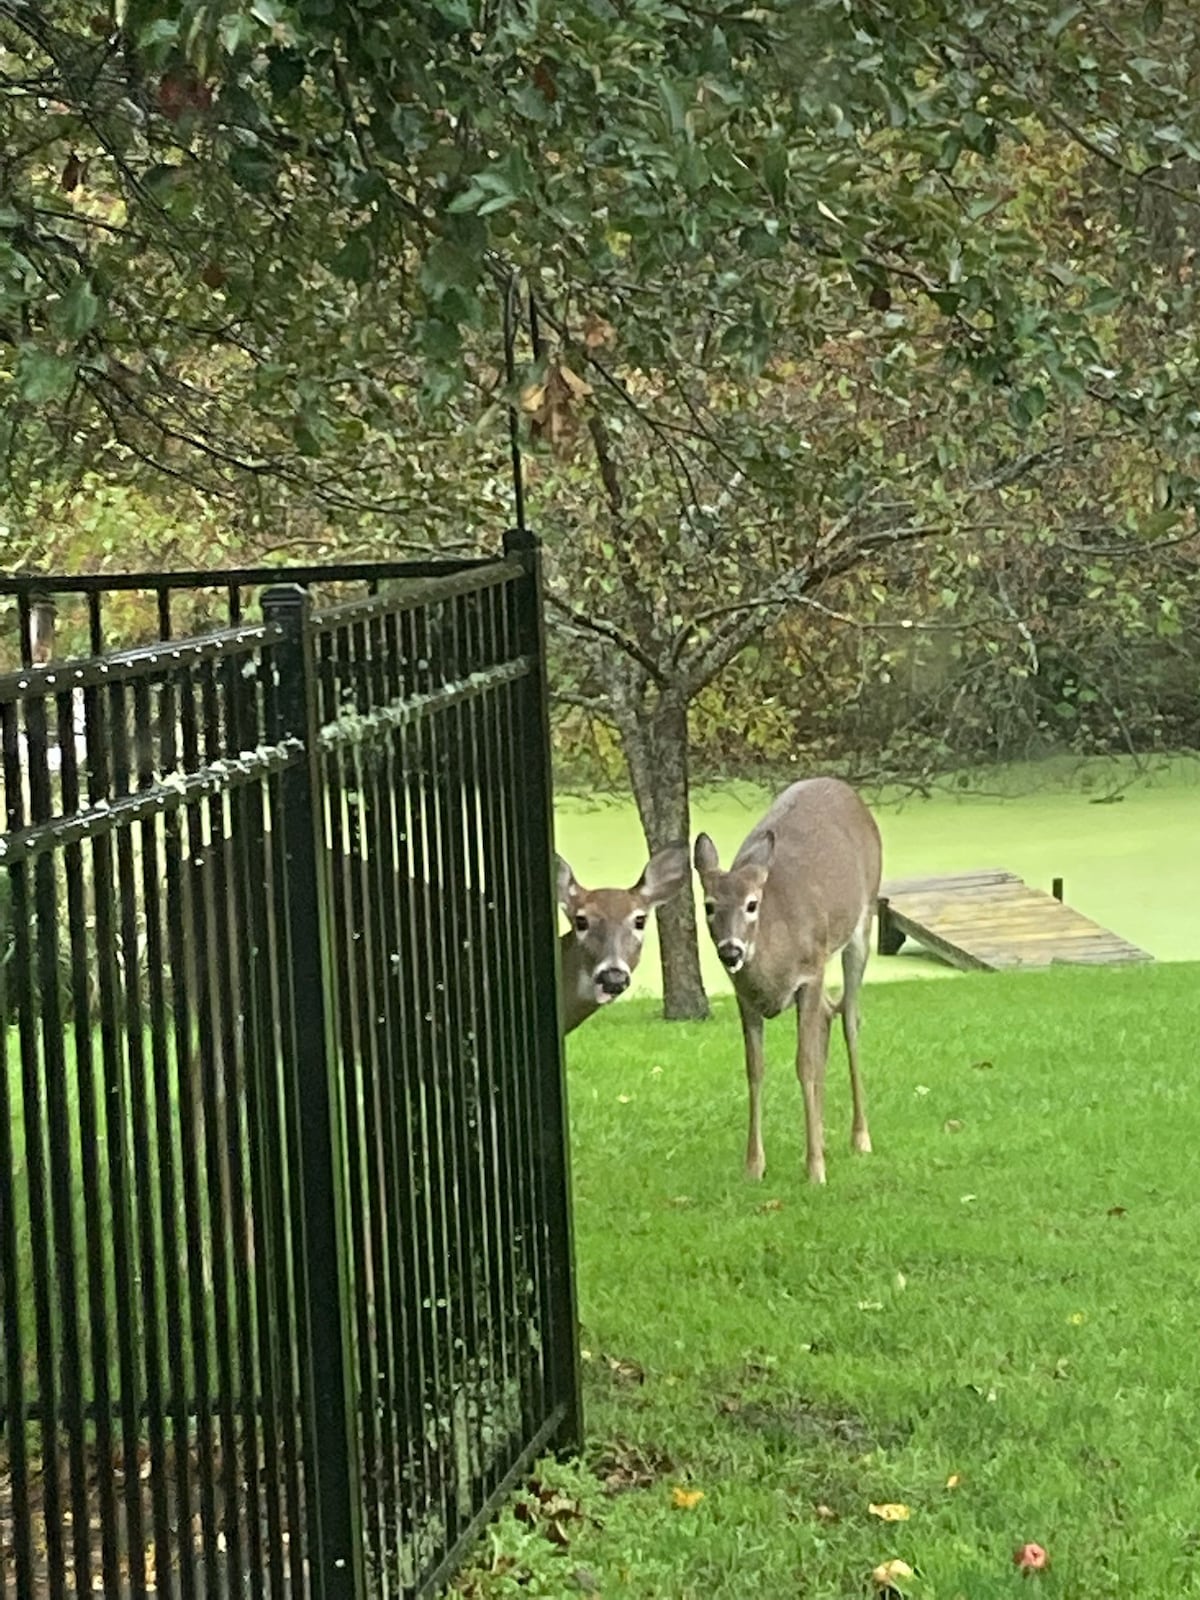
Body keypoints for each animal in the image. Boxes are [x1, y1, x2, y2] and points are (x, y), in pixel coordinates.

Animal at [694, 780, 883, 1184]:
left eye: (752, 904)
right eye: (709, 905)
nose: (730, 951)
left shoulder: (809, 973)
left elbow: (804, 1064)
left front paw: (815, 1170)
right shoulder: (744, 996)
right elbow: (755, 1068)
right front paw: (754, 1166)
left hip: (862, 922)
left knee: (850, 1018)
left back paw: (860, 1137)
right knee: (829, 1013)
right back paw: (825, 1137)